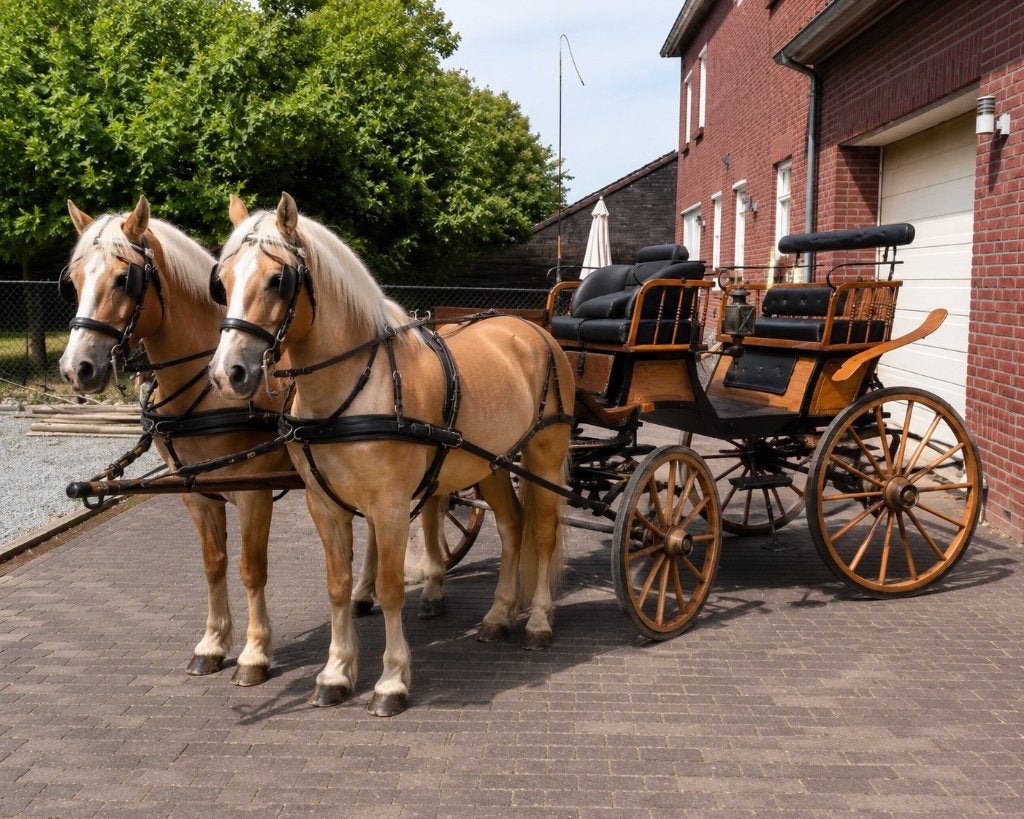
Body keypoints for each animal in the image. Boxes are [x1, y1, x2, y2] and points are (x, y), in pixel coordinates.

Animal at [58, 196, 295, 686]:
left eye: (123, 278)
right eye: (73, 280)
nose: (76, 369)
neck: (206, 384)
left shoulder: (255, 491)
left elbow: (251, 568)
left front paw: (254, 654)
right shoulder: (195, 492)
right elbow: (213, 563)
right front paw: (212, 644)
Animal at [208, 192, 574, 716]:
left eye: (278, 279)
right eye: (223, 281)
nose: (228, 373)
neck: (355, 388)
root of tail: (533, 330)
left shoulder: (391, 505)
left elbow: (390, 586)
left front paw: (391, 681)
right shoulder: (325, 505)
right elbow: (339, 585)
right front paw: (336, 673)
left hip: (543, 454)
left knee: (541, 534)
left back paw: (539, 623)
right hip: (492, 463)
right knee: (511, 528)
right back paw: (498, 617)